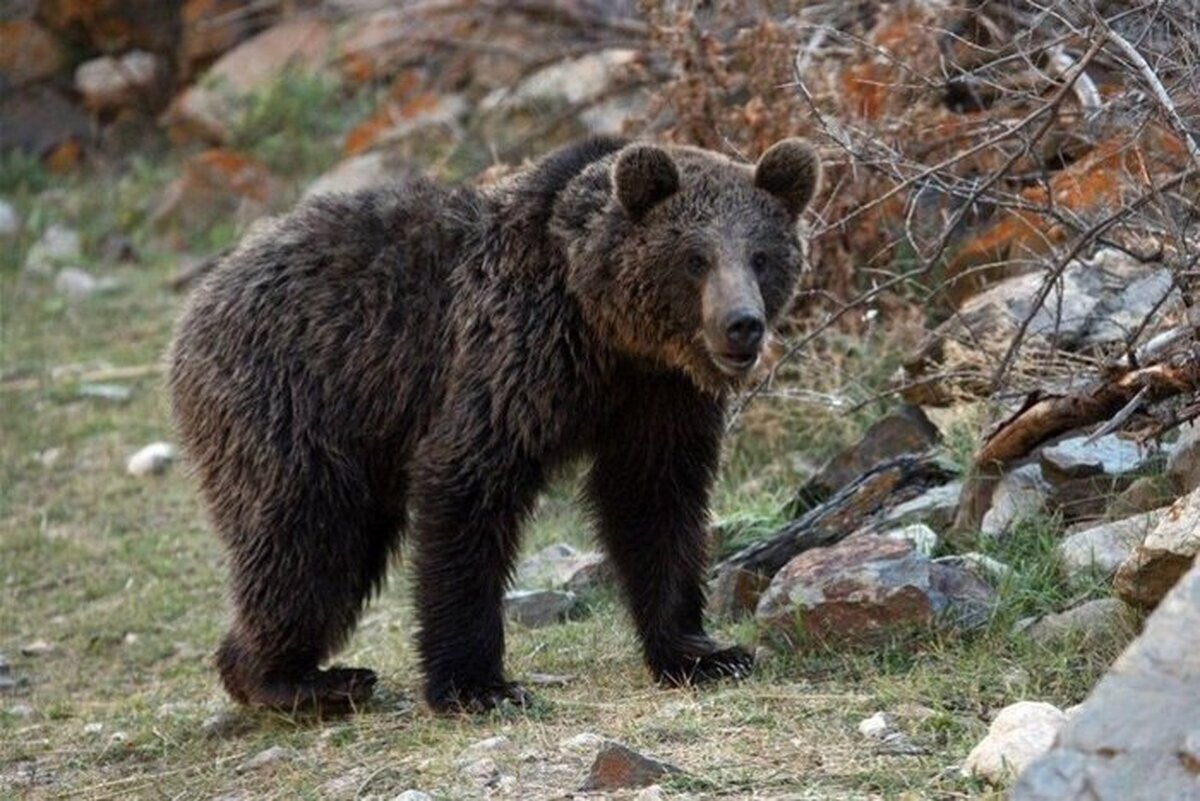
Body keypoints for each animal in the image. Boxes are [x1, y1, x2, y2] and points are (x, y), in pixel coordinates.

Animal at [169, 133, 820, 714]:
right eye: (694, 258)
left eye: (761, 255)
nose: (742, 325)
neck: (605, 331)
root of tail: (206, 293)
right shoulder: (512, 355)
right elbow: (468, 486)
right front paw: (477, 684)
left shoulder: (660, 400)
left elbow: (654, 503)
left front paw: (702, 654)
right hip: (296, 398)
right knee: (307, 537)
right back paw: (294, 679)